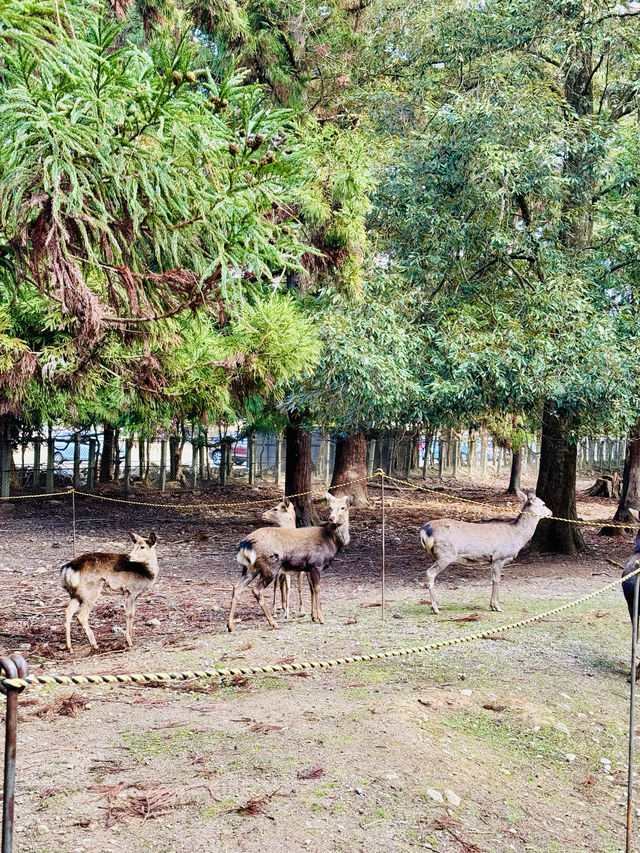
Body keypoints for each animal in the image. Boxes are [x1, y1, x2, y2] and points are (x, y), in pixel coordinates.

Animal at [227, 492, 353, 632]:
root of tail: (245, 544)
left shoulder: (308, 568)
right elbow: (317, 589)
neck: (331, 541)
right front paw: (321, 618)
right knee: (257, 590)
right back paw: (273, 623)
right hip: (270, 565)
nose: (331, 518)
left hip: (250, 568)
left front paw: (314, 616)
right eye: (330, 507)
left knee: (236, 588)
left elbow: (311, 589)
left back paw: (230, 626)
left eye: (343, 507)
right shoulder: (316, 564)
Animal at [419, 490, 551, 614]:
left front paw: (492, 605)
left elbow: (492, 579)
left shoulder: (491, 560)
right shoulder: (499, 557)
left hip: (435, 555)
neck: (517, 536)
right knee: (430, 573)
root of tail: (425, 530)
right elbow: (497, 580)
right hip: (446, 554)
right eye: (543, 504)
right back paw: (435, 608)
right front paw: (497, 607)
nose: (551, 513)